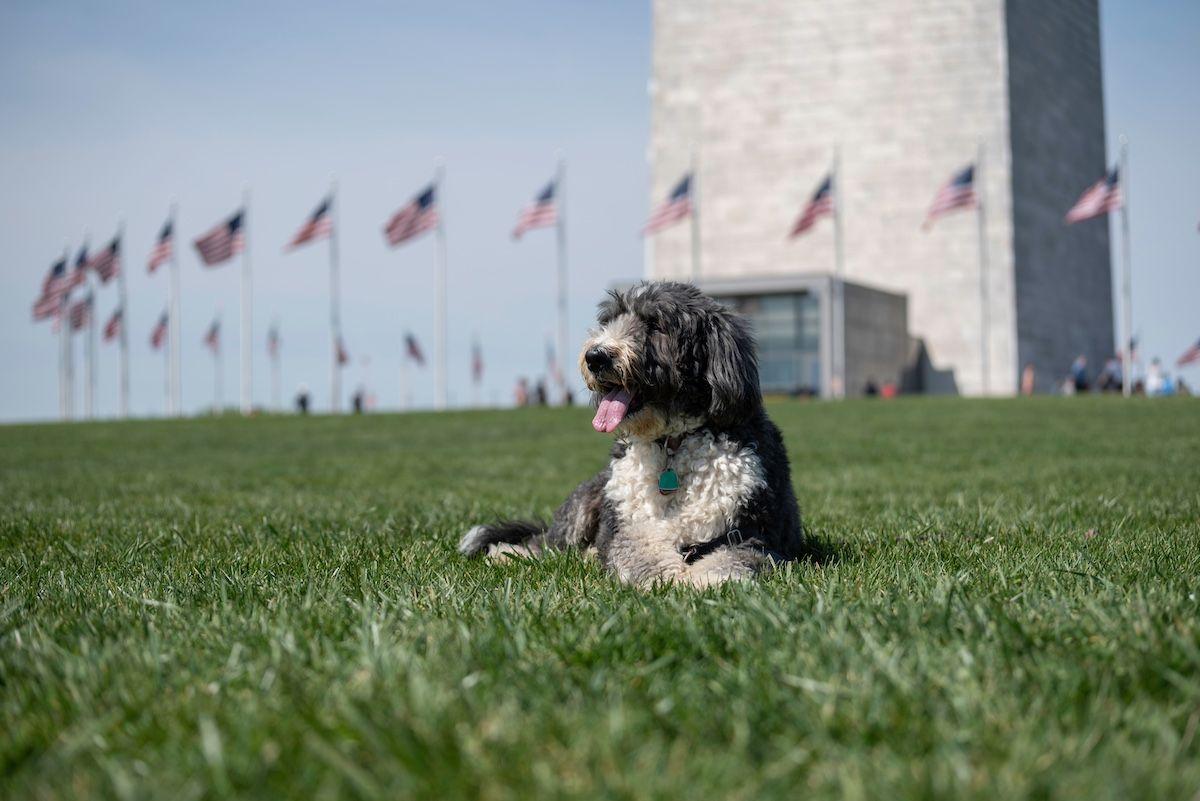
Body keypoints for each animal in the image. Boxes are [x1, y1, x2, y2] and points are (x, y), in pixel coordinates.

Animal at [458, 281, 806, 587]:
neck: (672, 444)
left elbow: (731, 559)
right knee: (545, 543)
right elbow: (640, 553)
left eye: (655, 324)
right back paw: (507, 553)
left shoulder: (748, 531)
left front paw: (706, 581)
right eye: (609, 320)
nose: (596, 356)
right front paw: (669, 580)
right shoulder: (629, 525)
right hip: (585, 505)